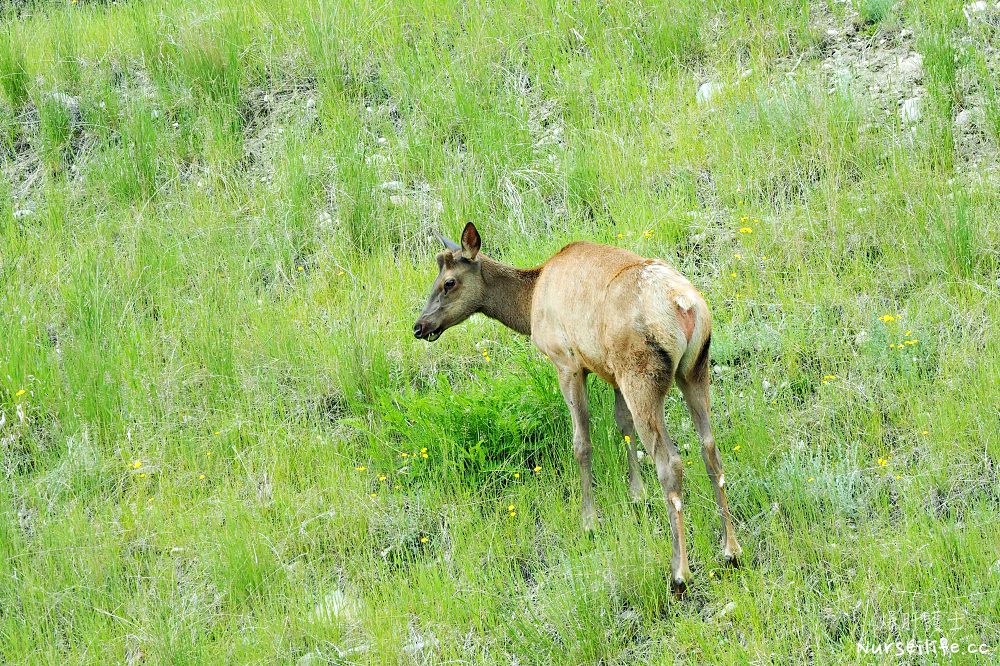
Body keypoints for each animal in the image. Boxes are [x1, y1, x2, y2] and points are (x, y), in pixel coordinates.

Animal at [414, 223, 744, 588]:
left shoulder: (567, 361)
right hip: (694, 368)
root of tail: (685, 305)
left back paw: (680, 571)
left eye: (449, 282)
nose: (419, 326)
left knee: (670, 462)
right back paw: (731, 549)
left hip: (641, 374)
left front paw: (589, 521)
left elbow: (582, 443)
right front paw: (636, 494)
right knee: (710, 447)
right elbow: (622, 425)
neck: (529, 304)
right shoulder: (610, 370)